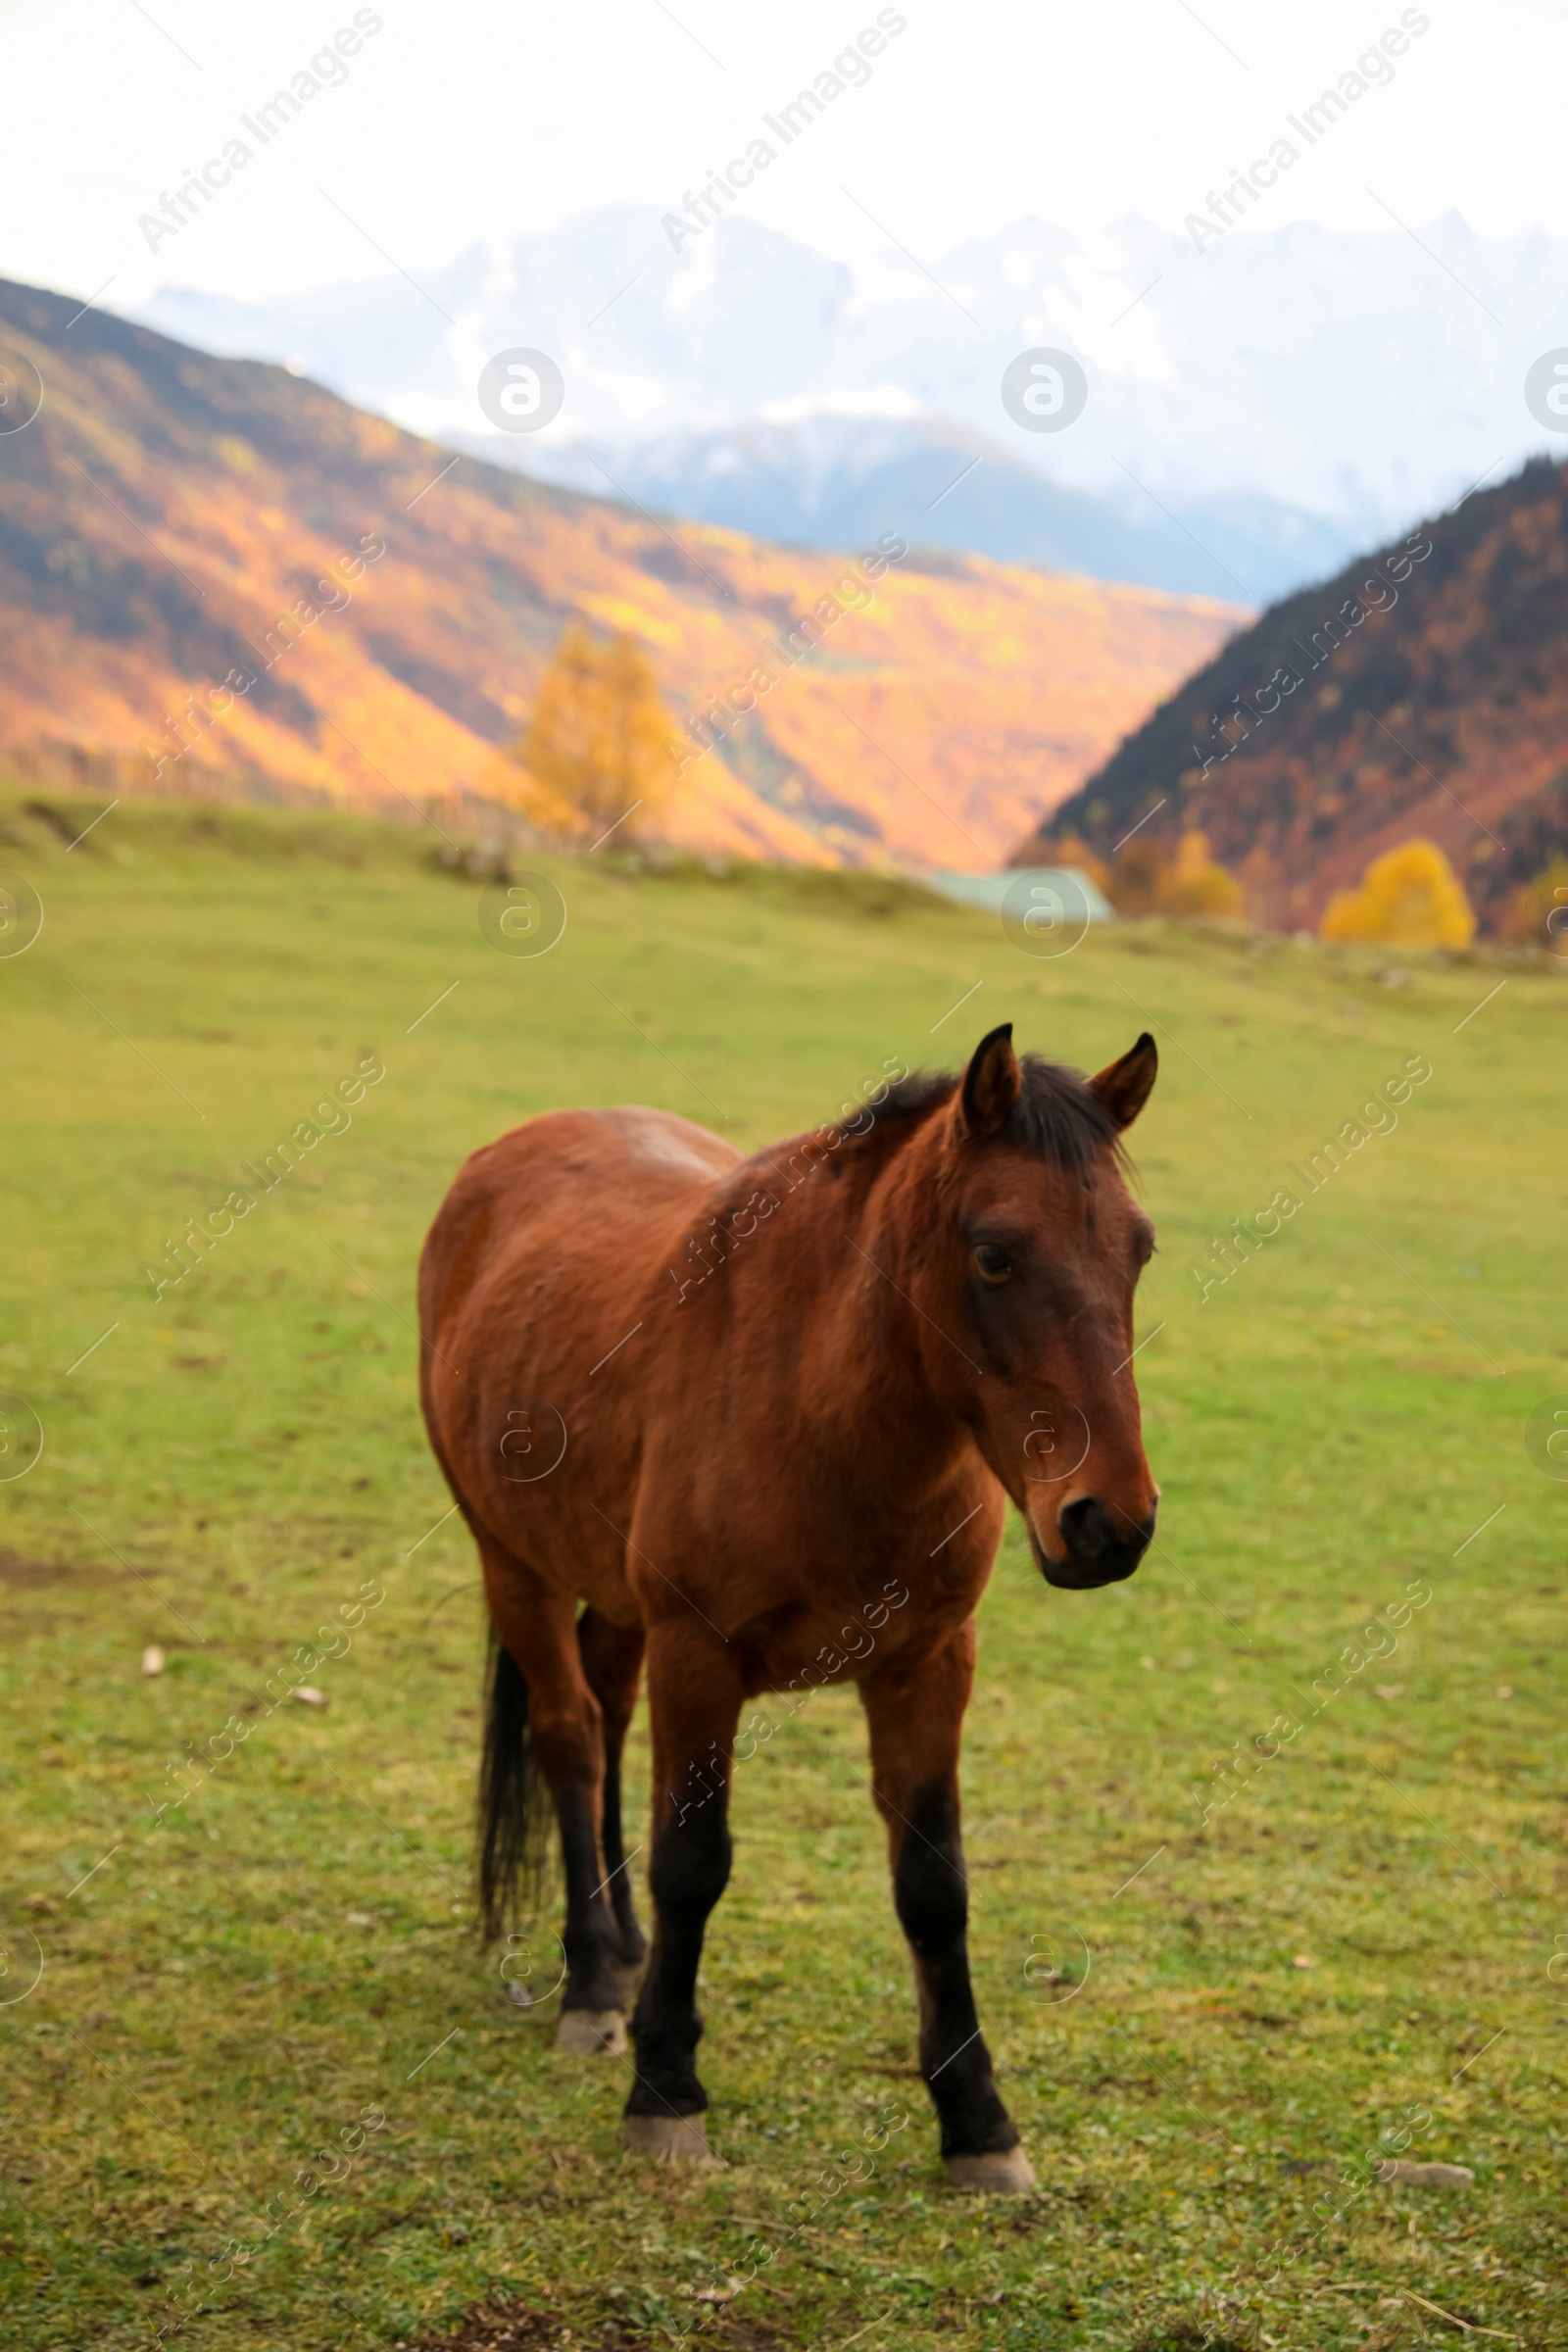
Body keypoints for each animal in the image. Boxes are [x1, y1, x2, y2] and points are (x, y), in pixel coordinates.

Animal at [422, 1020, 1161, 2191]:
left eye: (1137, 1251)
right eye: (995, 1253)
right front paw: (666, 2093)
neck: (818, 1408)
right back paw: (593, 1984)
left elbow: (933, 1885)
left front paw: (978, 2122)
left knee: (608, 1723)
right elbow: (695, 1864)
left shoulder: (926, 1665)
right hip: (514, 1565)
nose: (1109, 1525)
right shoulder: (699, 1656)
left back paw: (622, 1948)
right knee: (572, 1739)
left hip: (614, 1605)